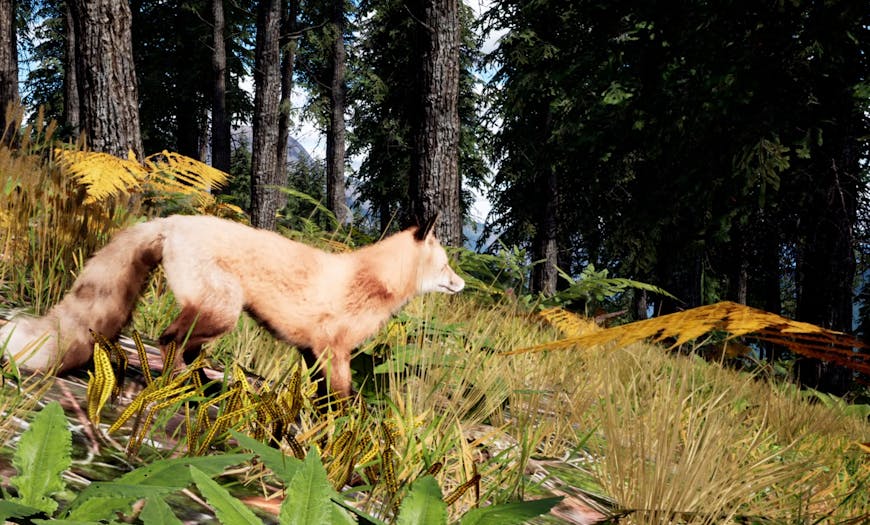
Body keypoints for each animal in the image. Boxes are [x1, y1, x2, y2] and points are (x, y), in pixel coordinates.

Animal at [0, 211, 466, 396]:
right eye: (445, 265)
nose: (460, 284)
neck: (370, 282)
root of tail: (172, 221)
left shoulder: (311, 351)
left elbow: (320, 397)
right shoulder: (334, 350)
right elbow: (342, 398)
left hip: (215, 315)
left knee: (183, 348)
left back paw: (200, 385)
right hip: (222, 312)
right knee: (168, 340)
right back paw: (178, 387)